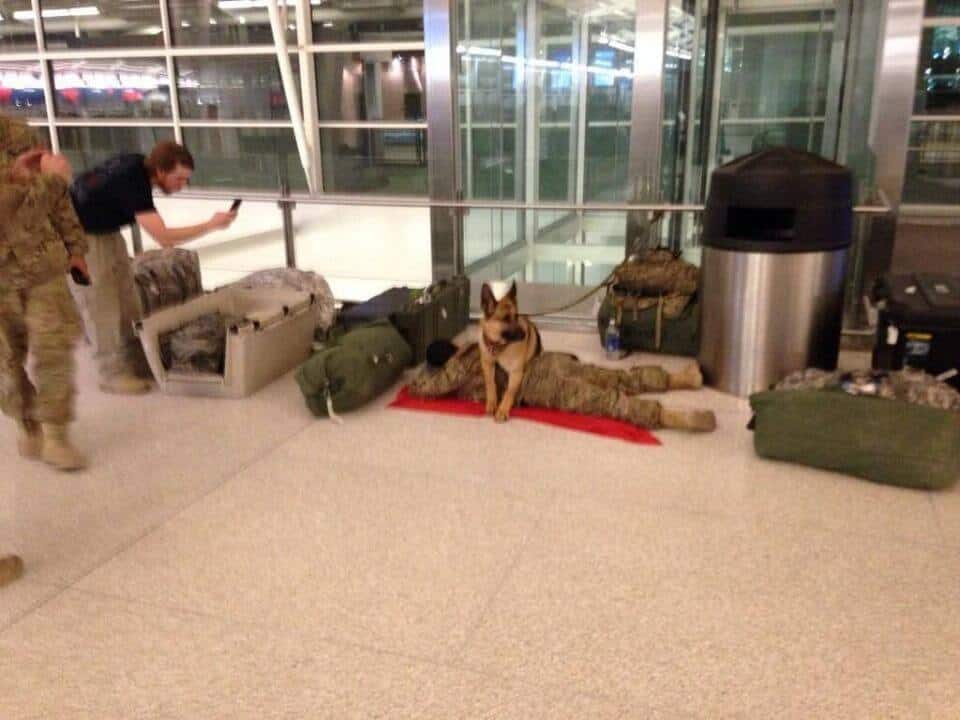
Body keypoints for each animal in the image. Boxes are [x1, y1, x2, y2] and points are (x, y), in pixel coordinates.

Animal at [478, 282, 540, 422]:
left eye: (516, 316)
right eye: (505, 319)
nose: (524, 334)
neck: (498, 346)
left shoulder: (516, 372)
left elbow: (509, 392)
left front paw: (502, 410)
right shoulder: (487, 364)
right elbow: (490, 383)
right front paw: (492, 403)